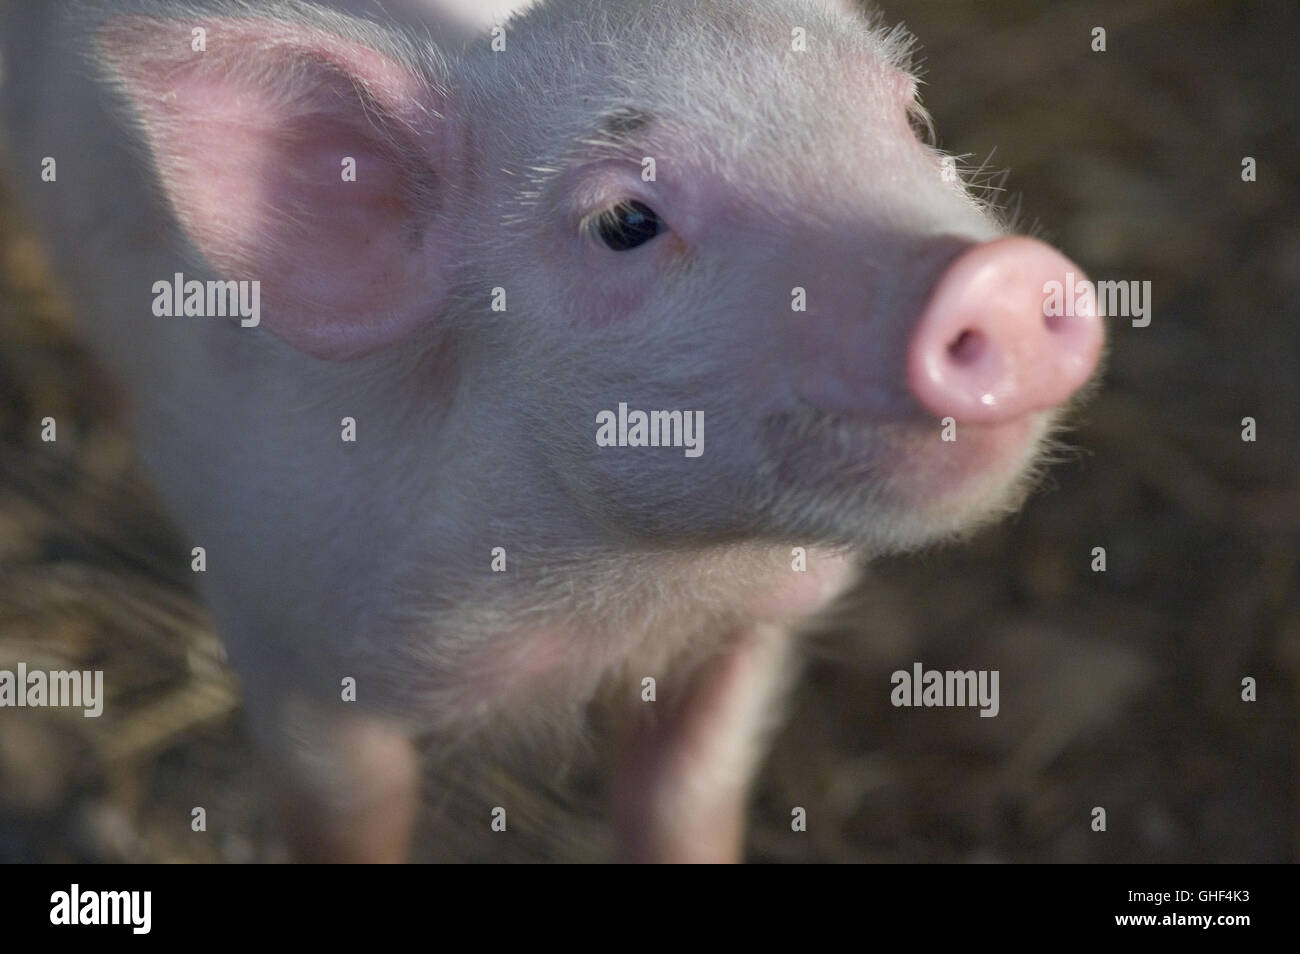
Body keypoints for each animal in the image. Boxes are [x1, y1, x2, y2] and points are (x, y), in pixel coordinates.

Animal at [0, 0, 1104, 862]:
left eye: (914, 118)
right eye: (625, 222)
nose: (997, 275)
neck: (615, 602)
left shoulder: (746, 635)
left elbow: (685, 803)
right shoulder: (277, 614)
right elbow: (349, 818)